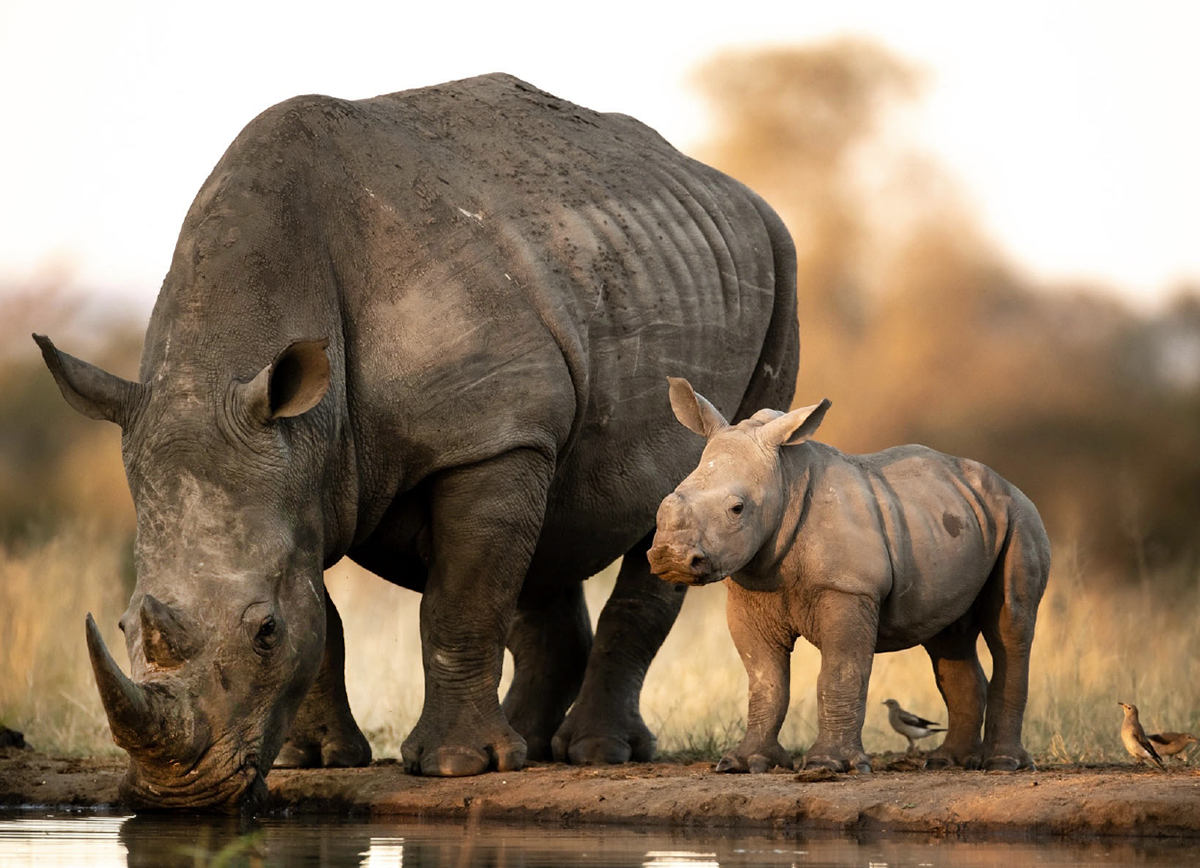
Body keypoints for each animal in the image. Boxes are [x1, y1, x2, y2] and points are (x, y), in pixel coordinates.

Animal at [34, 74, 799, 812]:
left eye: (264, 632)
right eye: (125, 625)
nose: (178, 798)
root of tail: (729, 187)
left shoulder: (487, 438)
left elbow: (460, 601)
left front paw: (458, 768)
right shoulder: (306, 471)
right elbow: (332, 617)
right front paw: (315, 760)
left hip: (776, 275)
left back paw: (591, 754)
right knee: (547, 530)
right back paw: (530, 745)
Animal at [648, 379, 1050, 774]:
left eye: (737, 509)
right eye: (668, 498)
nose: (669, 556)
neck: (785, 478)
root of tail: (1006, 483)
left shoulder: (849, 589)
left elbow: (840, 672)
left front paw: (827, 765)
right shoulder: (749, 591)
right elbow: (765, 679)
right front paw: (743, 763)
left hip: (1020, 516)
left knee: (1010, 626)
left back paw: (1003, 764)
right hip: (954, 519)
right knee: (948, 636)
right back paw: (947, 762)